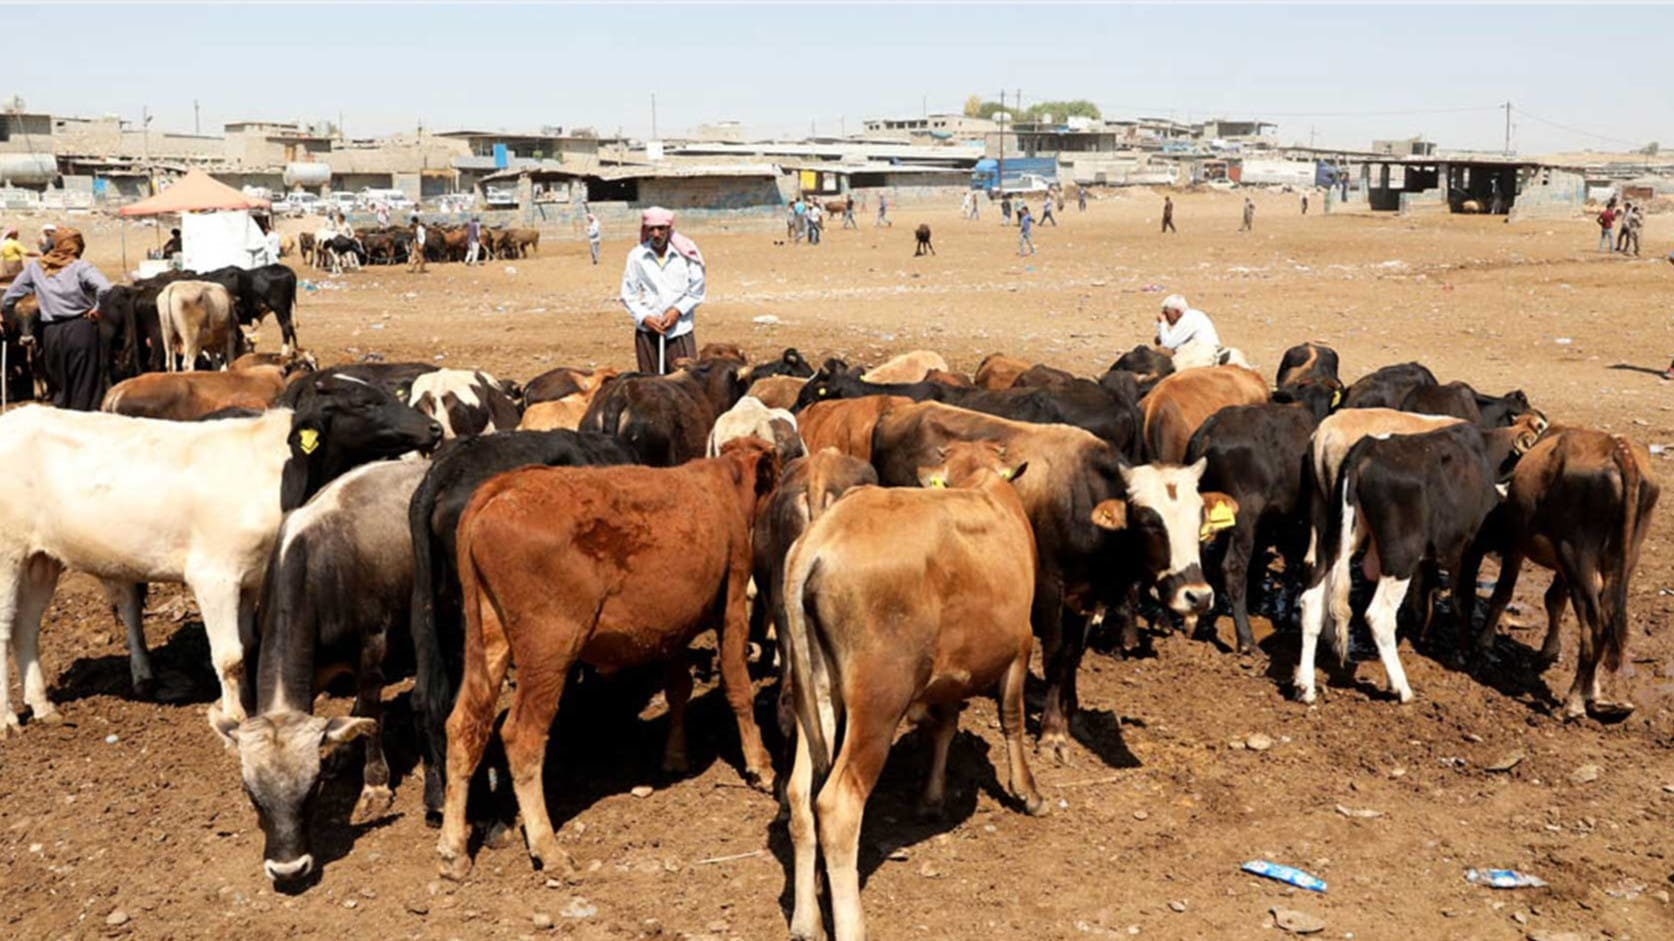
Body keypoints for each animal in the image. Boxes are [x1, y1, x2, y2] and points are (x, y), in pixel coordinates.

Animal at [0, 375, 438, 733]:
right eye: (364, 403)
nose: (433, 428)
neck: (273, 471)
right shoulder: (214, 577)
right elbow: (228, 656)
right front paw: (235, 715)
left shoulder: (249, 580)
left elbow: (246, 646)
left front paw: (245, 701)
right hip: (9, 555)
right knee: (7, 626)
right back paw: (9, 720)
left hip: (42, 560)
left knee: (27, 627)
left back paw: (43, 707)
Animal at [441, 435, 786, 877]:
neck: (724, 484)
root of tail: (503, 488)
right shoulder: (733, 600)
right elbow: (737, 684)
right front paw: (760, 764)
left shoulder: (674, 623)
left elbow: (678, 687)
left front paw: (675, 755)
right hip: (549, 652)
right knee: (522, 737)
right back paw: (548, 849)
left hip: (490, 642)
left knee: (464, 726)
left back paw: (453, 851)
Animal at [780, 438, 1037, 937]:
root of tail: (823, 536)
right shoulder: (1022, 643)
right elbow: (1012, 716)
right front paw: (1027, 791)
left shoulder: (952, 668)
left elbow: (945, 725)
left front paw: (931, 798)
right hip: (878, 700)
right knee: (837, 806)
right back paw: (851, 926)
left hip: (815, 692)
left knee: (800, 794)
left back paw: (806, 920)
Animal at [1473, 426, 1653, 716]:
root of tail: (1619, 451)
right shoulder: (1562, 567)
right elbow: (1554, 600)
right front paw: (1550, 649)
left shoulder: (1516, 544)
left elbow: (1503, 592)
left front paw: (1484, 640)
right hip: (1619, 560)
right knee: (1605, 619)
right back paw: (1593, 691)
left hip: (1576, 557)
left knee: (1594, 629)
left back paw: (1575, 700)